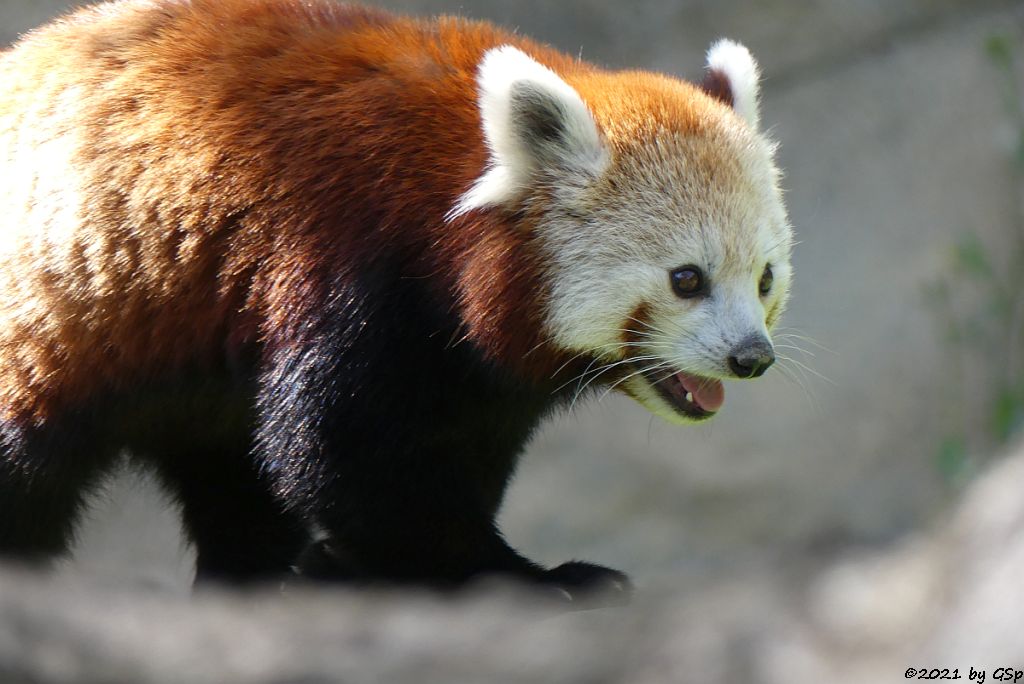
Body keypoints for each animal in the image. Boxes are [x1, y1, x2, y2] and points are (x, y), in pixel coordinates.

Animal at [0, 0, 790, 602]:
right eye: (687, 279)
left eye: (764, 279)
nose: (752, 357)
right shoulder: (349, 270)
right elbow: (343, 458)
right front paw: (527, 576)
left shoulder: (473, 376)